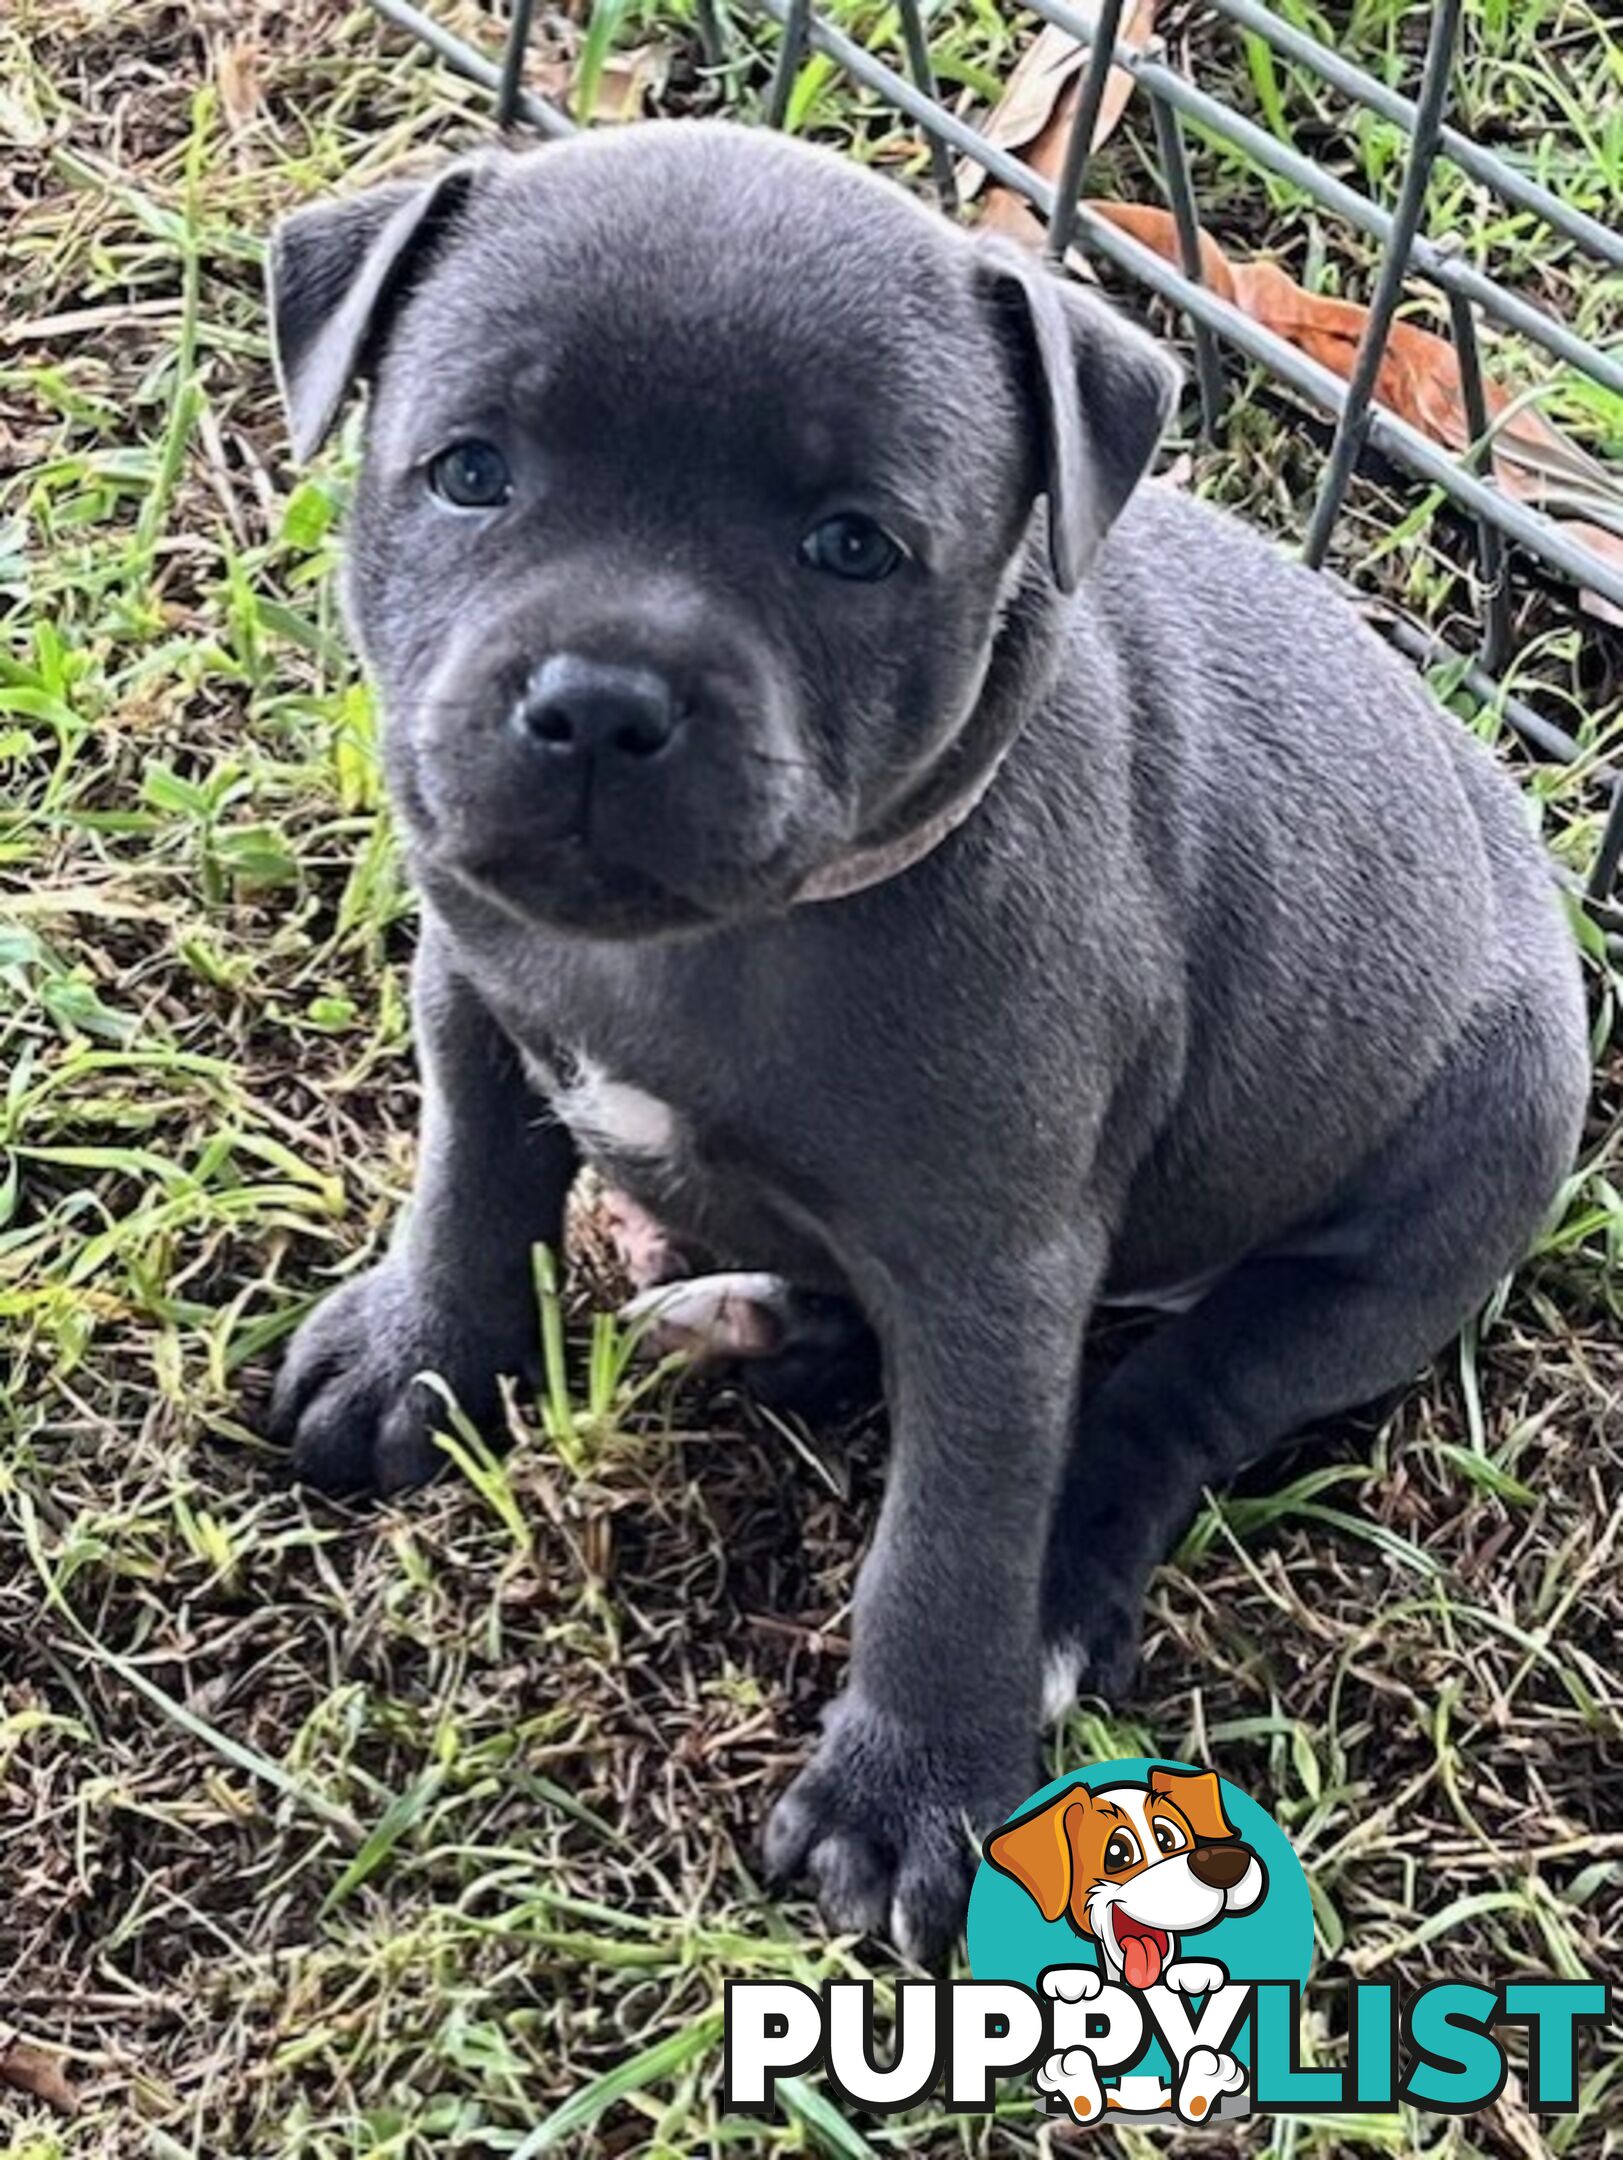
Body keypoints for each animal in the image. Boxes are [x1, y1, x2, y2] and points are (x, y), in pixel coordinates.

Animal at [266, 113, 1590, 1961]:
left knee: (1171, 1398)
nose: (597, 700)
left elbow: (949, 1537)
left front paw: (909, 1796)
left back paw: (1052, 1582)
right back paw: (758, 1319)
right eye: (469, 472)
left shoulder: (991, 1273)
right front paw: (414, 1359)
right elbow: (468, 1178)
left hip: (1418, 1215)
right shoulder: (471, 986)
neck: (713, 947)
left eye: (850, 547)